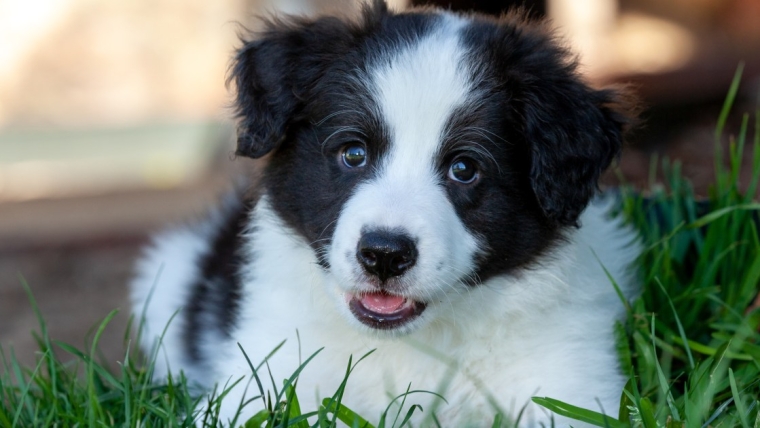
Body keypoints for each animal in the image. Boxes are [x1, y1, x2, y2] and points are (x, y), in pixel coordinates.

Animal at [132, 1, 640, 426]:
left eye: (464, 169)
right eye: (353, 153)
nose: (384, 255)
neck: (414, 345)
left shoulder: (570, 384)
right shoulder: (260, 376)